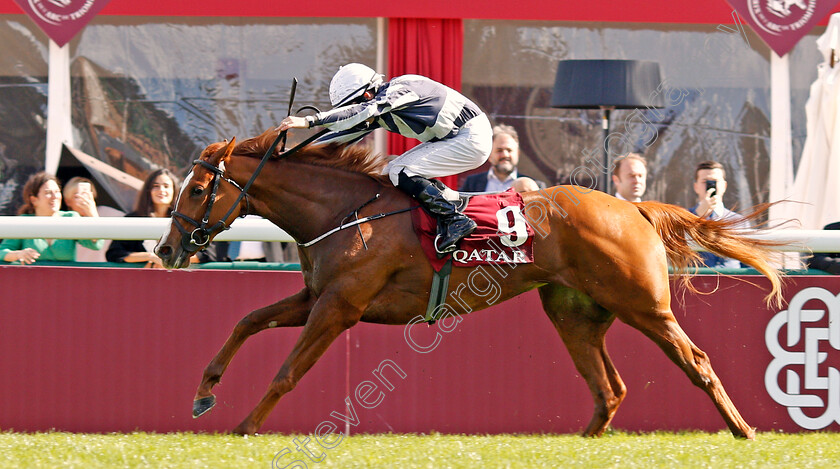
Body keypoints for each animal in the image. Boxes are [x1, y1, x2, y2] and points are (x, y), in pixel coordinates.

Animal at [154, 127, 784, 436]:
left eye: (196, 189)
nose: (165, 249)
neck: (343, 210)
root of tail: (632, 208)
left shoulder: (339, 306)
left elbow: (287, 372)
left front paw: (244, 427)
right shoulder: (315, 295)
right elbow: (247, 320)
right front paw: (204, 391)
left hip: (643, 305)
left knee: (696, 362)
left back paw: (743, 432)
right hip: (572, 313)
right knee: (609, 388)